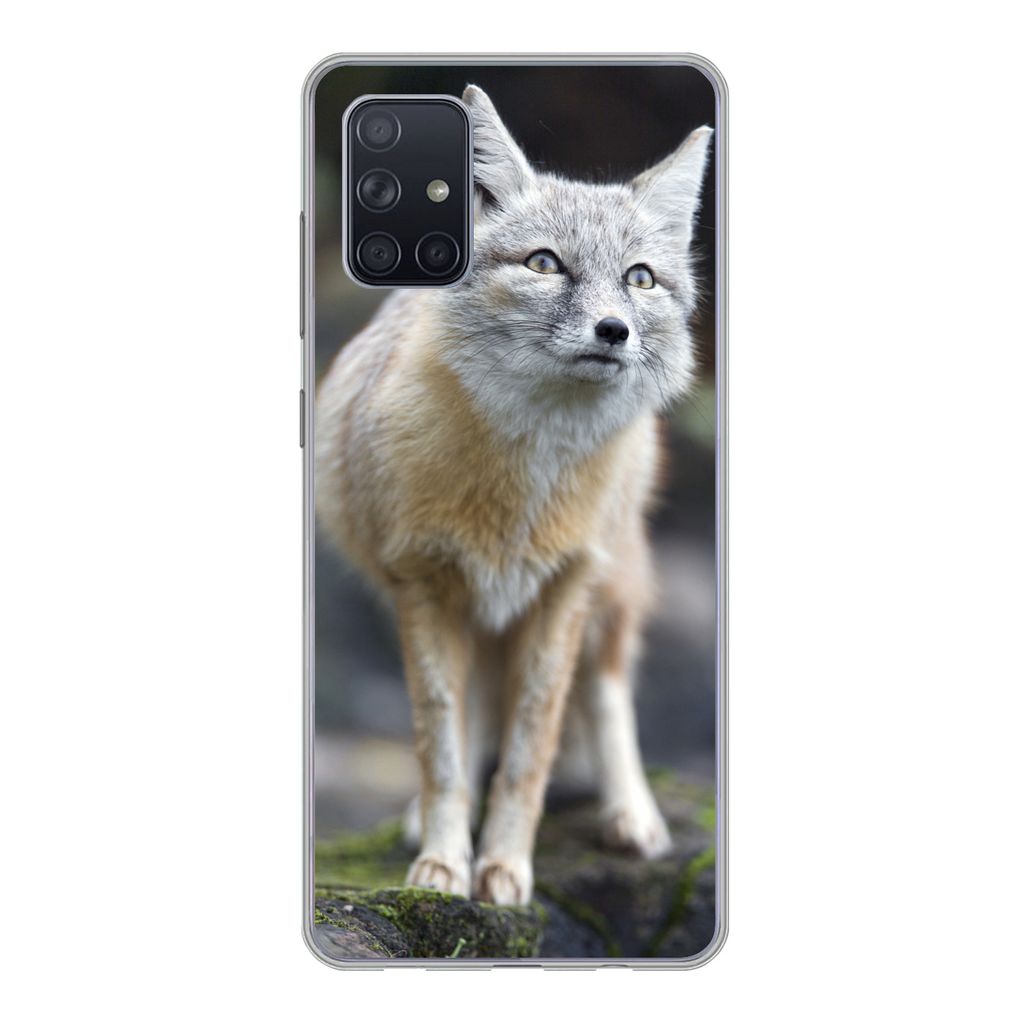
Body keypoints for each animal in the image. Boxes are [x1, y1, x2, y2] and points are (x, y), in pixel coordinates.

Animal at [315, 85, 712, 906]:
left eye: (640, 278)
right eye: (544, 264)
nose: (614, 330)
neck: (522, 492)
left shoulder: (562, 591)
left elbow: (532, 748)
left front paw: (505, 867)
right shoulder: (424, 585)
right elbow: (439, 743)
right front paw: (444, 863)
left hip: (609, 590)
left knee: (607, 690)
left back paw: (632, 814)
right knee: (472, 716)